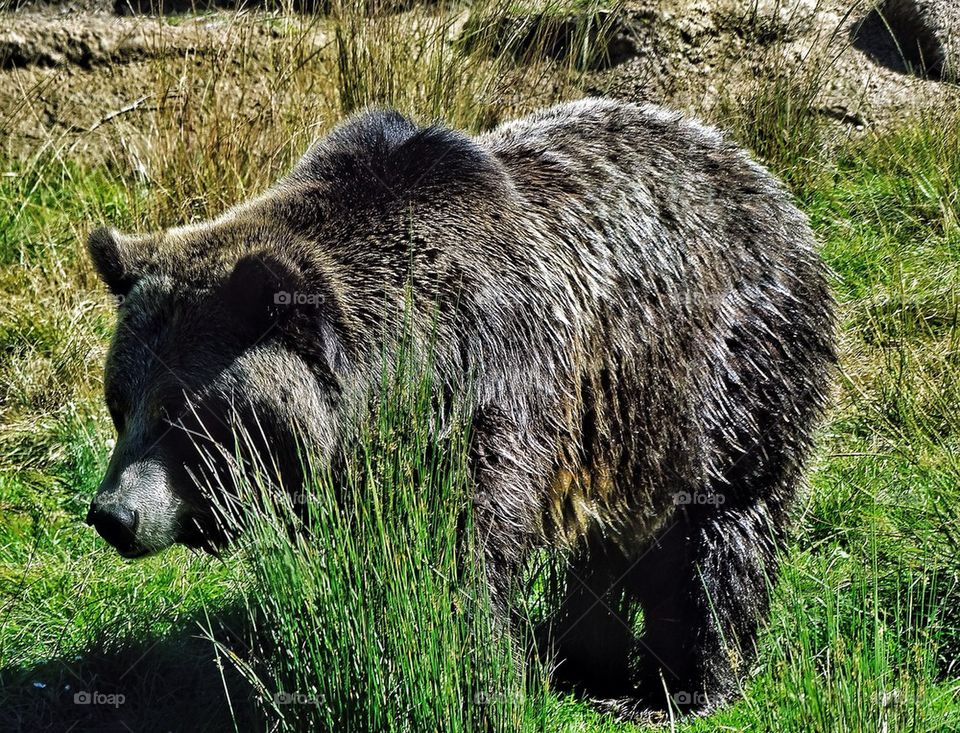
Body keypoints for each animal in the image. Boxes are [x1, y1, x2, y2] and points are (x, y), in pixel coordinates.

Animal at [85, 97, 835, 717]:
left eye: (186, 411)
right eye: (121, 401)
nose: (114, 514)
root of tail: (765, 179)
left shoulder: (497, 397)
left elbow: (464, 552)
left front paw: (481, 669)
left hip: (724, 377)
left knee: (719, 538)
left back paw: (683, 688)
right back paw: (584, 661)